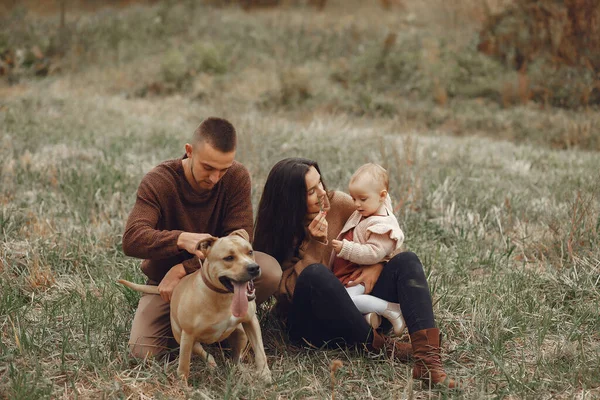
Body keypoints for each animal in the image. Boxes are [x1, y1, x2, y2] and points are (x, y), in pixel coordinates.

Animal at [118, 230, 272, 382]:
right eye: (228, 258)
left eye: (250, 252)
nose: (254, 267)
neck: (223, 297)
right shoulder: (188, 335)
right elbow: (184, 366)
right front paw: (183, 386)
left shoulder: (251, 321)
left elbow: (260, 351)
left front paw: (265, 375)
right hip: (183, 337)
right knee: (205, 354)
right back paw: (212, 366)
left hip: (241, 334)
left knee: (236, 359)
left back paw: (242, 371)